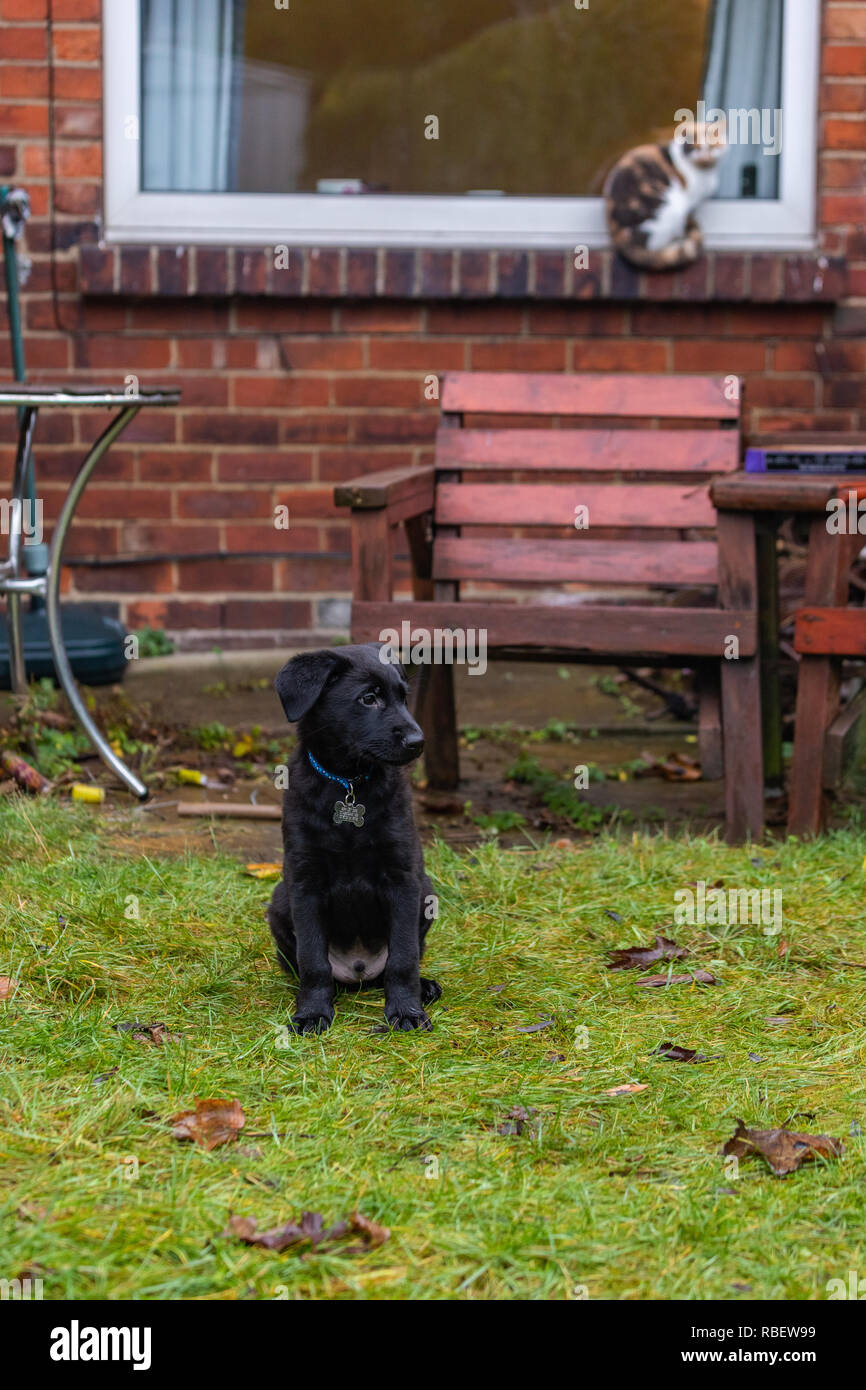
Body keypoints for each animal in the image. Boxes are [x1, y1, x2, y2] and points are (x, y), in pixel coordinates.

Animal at [265, 642, 439, 1034]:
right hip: (279, 900)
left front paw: (406, 1011)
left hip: (427, 891)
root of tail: (359, 972)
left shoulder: (404, 878)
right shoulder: (304, 881)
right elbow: (313, 960)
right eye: (368, 698)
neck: (347, 783)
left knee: (393, 966)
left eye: (404, 698)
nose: (419, 742)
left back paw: (423, 987)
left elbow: (403, 957)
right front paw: (312, 1012)